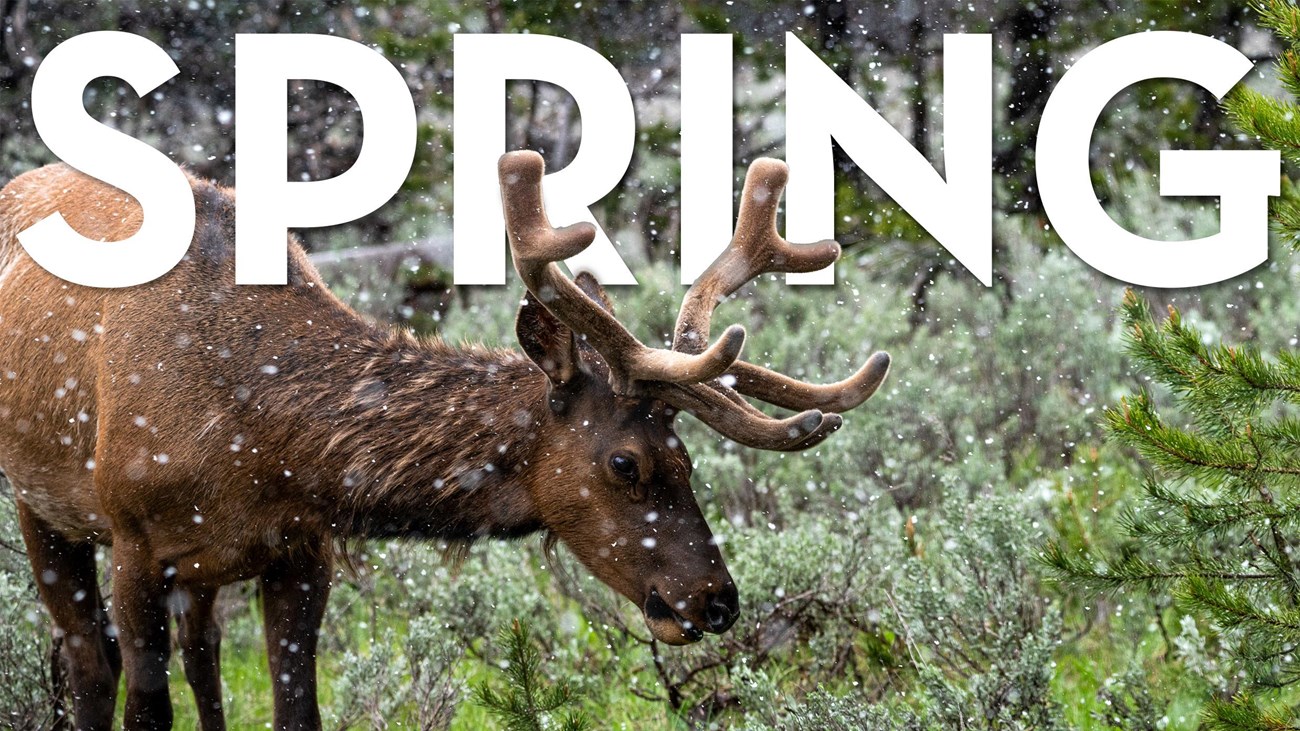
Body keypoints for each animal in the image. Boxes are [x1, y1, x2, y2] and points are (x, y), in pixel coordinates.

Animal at [0, 149, 889, 728]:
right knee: (86, 659)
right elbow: (141, 701)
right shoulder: (136, 541)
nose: (717, 597)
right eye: (625, 461)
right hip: (43, 506)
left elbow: (295, 708)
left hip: (204, 572)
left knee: (204, 656)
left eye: (688, 458)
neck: (262, 441)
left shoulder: (300, 547)